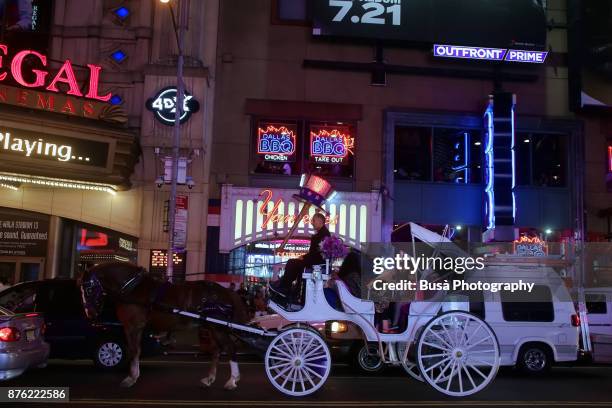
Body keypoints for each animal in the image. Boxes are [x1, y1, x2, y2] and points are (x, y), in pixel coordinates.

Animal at [80, 262, 250, 390]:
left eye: (88, 288)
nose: (90, 313)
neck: (131, 288)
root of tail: (227, 292)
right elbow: (135, 350)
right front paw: (133, 375)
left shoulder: (133, 326)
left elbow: (134, 350)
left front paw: (131, 377)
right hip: (211, 327)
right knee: (216, 351)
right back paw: (209, 378)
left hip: (217, 328)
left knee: (230, 348)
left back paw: (232, 380)